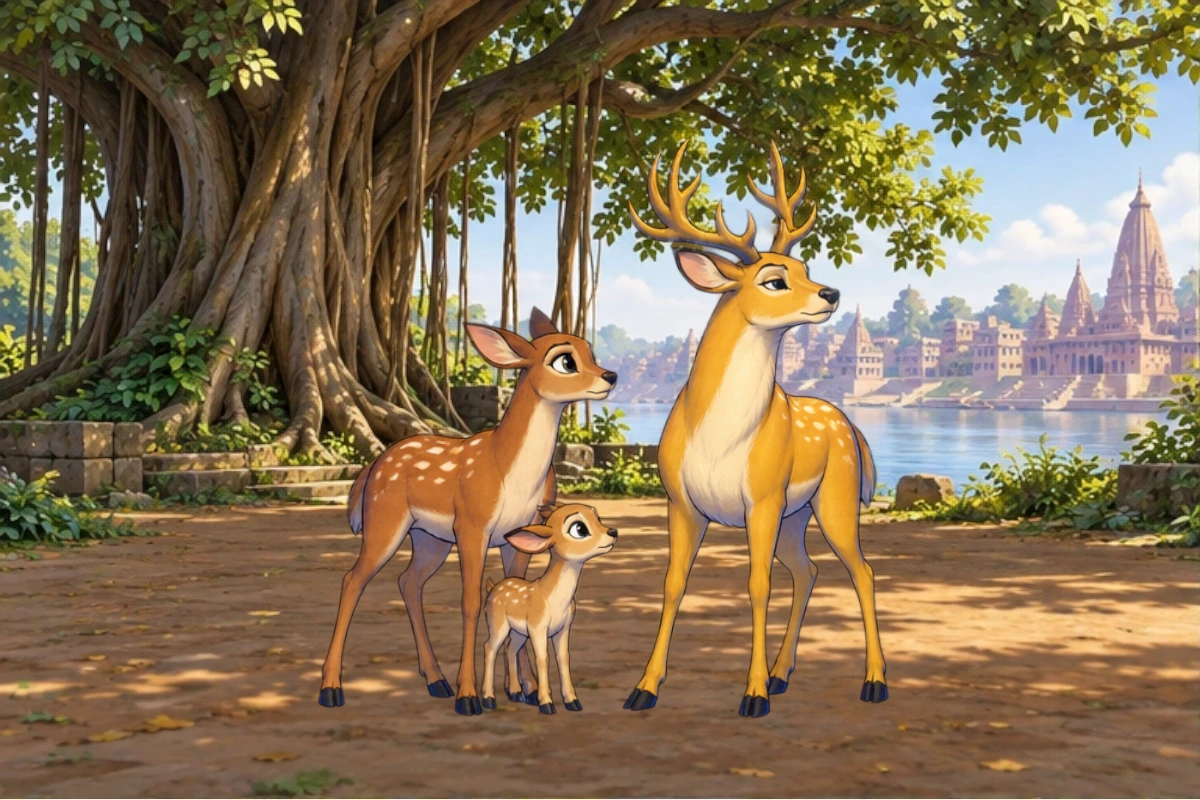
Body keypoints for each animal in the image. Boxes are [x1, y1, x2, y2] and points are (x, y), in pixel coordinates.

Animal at [481, 502, 618, 715]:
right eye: (579, 528)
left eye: (598, 517)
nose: (613, 532)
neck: (553, 600)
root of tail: (492, 587)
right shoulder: (538, 627)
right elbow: (543, 658)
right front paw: (546, 703)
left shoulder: (564, 628)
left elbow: (563, 658)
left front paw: (573, 701)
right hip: (497, 623)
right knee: (489, 648)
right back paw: (488, 699)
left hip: (518, 631)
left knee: (510, 648)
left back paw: (516, 693)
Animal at [621, 141, 886, 718]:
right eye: (773, 278)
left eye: (805, 265)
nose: (832, 293)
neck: (721, 438)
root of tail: (850, 424)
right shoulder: (680, 500)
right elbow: (673, 583)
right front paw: (643, 688)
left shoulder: (760, 498)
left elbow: (758, 585)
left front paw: (753, 694)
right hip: (795, 514)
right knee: (808, 571)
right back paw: (785, 673)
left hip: (834, 496)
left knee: (861, 570)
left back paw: (874, 682)